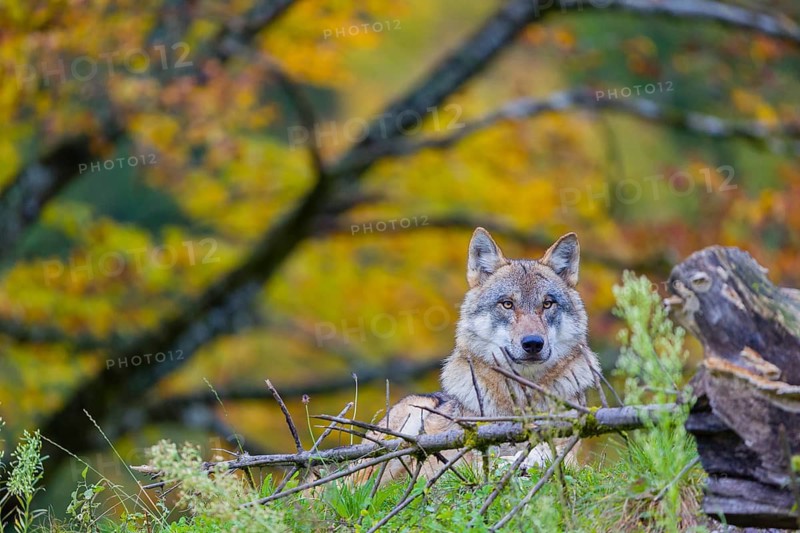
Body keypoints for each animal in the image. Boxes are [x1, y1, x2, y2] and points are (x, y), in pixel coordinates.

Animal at [360, 228, 602, 483]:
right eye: (507, 304)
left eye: (547, 304)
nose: (533, 343)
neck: (521, 401)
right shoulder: (469, 451)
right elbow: (486, 459)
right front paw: (509, 462)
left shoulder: (571, 449)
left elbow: (546, 451)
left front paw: (527, 459)